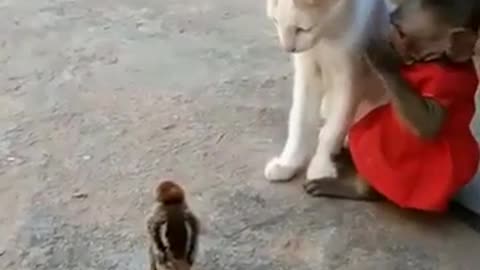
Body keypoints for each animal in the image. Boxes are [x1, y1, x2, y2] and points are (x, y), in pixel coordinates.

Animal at [264, 0, 392, 184]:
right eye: (275, 22)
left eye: (302, 29)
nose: (288, 49)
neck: (327, 36)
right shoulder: (307, 72)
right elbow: (300, 121)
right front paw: (288, 163)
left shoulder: (348, 78)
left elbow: (332, 129)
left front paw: (320, 166)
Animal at [308, 0, 480, 213]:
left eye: (401, 33)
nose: (388, 37)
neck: (438, 60)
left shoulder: (446, 82)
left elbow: (429, 125)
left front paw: (382, 58)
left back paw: (359, 189)